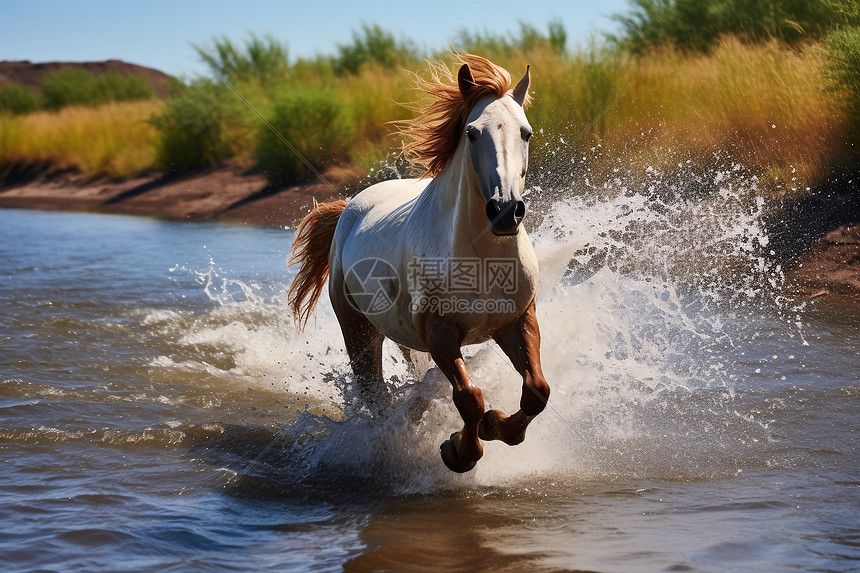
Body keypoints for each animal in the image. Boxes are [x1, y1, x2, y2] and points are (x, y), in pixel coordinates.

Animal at [286, 54, 548, 474]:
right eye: (472, 132)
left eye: (526, 132)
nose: (506, 211)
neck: (481, 257)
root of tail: (350, 208)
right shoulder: (439, 331)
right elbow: (469, 397)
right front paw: (459, 452)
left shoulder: (515, 320)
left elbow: (536, 390)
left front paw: (495, 426)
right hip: (359, 330)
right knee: (375, 399)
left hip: (405, 340)